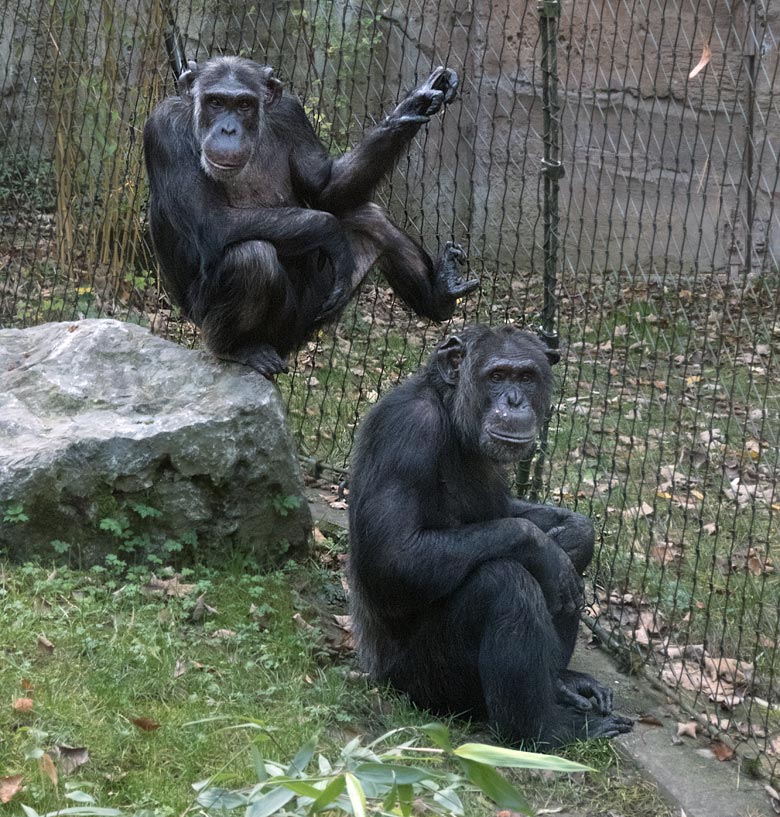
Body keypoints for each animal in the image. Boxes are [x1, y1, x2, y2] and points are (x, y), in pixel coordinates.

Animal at [143, 55, 478, 378]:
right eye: (215, 102)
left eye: (244, 105)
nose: (228, 129)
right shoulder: (164, 128)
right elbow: (212, 220)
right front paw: (332, 233)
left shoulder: (292, 114)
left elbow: (324, 189)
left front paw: (414, 104)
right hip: (215, 322)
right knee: (253, 257)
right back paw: (239, 349)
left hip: (307, 319)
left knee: (371, 220)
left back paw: (441, 294)